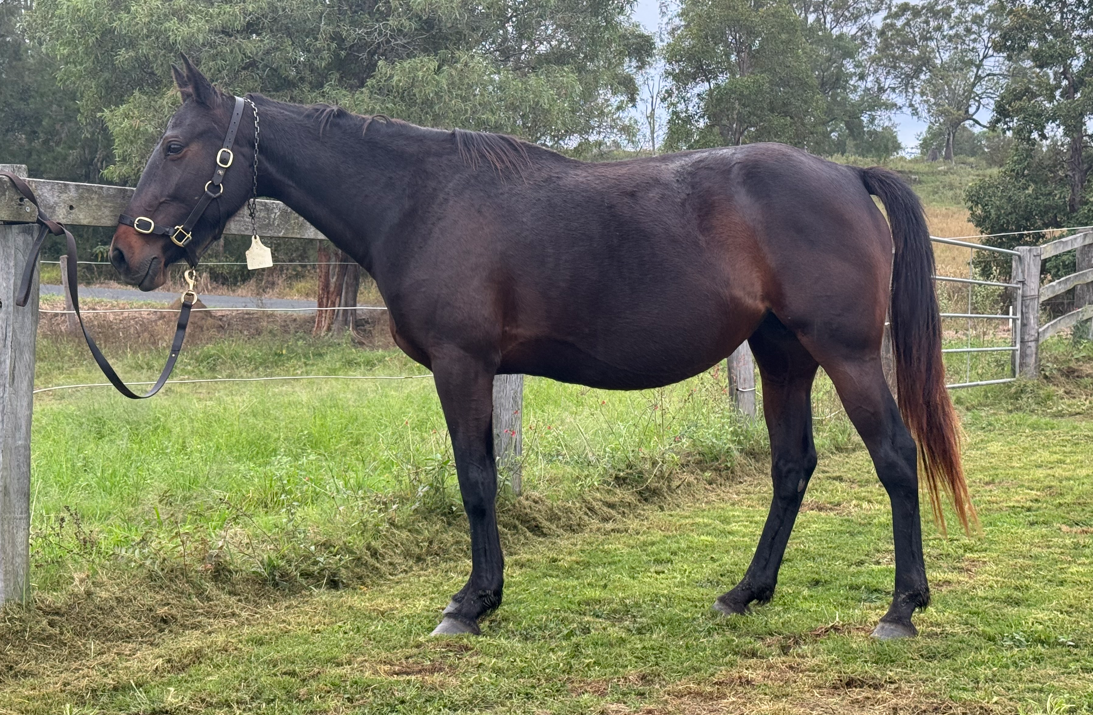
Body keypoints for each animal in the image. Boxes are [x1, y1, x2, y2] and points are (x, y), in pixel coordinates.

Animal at [109, 55, 972, 639]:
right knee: (791, 465)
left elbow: (477, 482)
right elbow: (483, 478)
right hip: (782, 355)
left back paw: (900, 608)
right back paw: (744, 591)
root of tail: (844, 174)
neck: (421, 199)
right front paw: (481, 595)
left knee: (895, 457)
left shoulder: (463, 366)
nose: (125, 252)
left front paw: (470, 603)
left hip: (846, 354)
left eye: (176, 144)